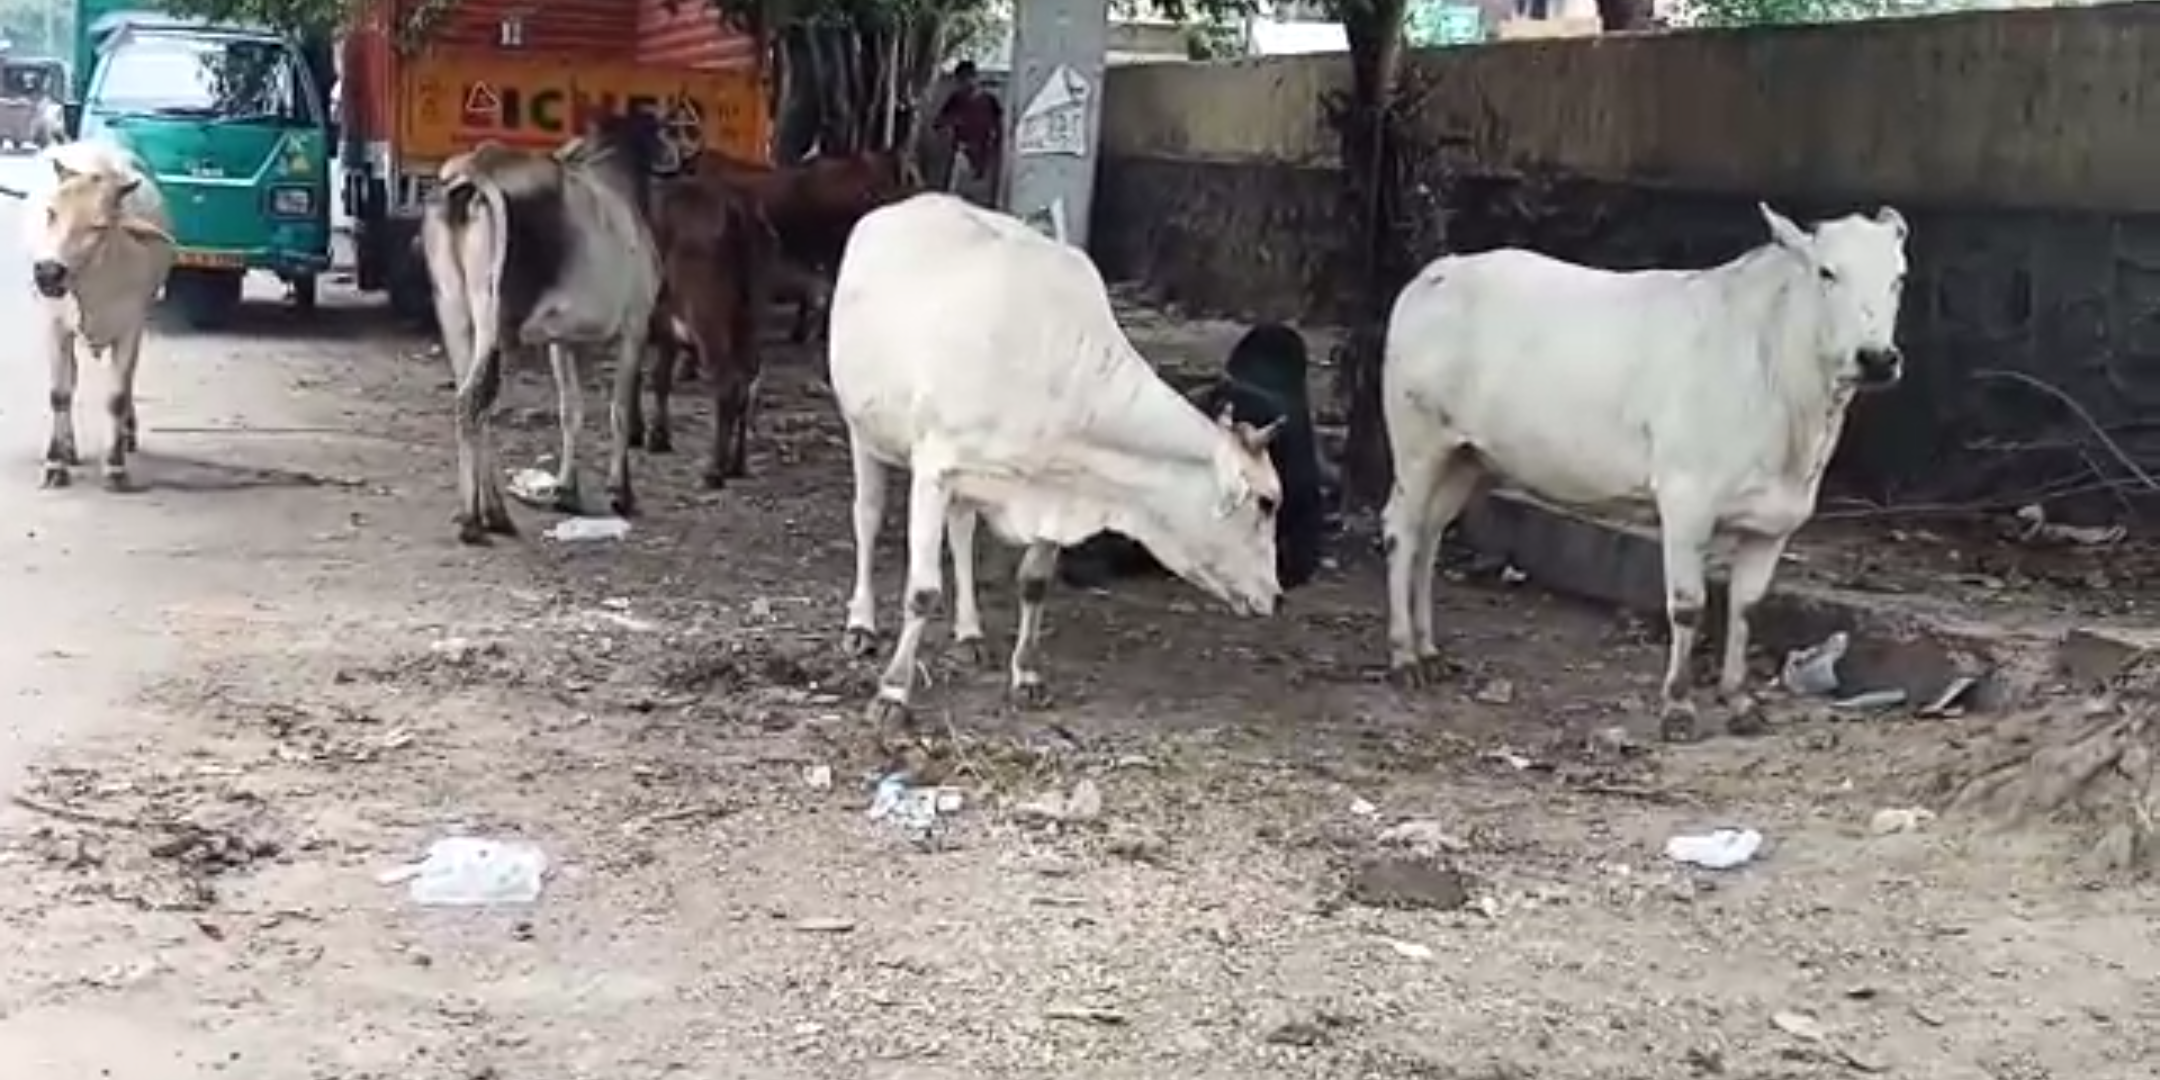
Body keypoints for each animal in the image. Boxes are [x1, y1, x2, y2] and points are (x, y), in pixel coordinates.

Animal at [25, 138, 174, 490]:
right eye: (51, 213)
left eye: (99, 226)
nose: (48, 272)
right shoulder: (55, 326)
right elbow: (59, 394)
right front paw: (55, 464)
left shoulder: (132, 328)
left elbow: (117, 396)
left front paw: (116, 468)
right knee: (71, 380)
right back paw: (69, 448)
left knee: (127, 385)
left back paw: (127, 434)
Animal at [833, 192, 1287, 725]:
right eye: (1267, 502)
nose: (1276, 596)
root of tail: (905, 203)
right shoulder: (934, 469)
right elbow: (921, 591)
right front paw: (892, 693)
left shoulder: (1058, 480)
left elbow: (1034, 581)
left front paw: (1026, 675)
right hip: (862, 430)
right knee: (867, 517)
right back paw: (861, 625)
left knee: (962, 531)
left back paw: (969, 632)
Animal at [1382, 200, 1909, 743]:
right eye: (1827, 272)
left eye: (1898, 278)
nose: (1877, 358)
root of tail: (1436, 271)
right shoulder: (1686, 498)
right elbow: (1689, 604)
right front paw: (1677, 708)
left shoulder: (1776, 521)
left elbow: (1746, 606)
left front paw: (1740, 701)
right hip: (1417, 440)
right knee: (1402, 529)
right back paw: (1404, 657)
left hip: (1467, 455)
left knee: (1431, 534)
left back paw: (1429, 650)